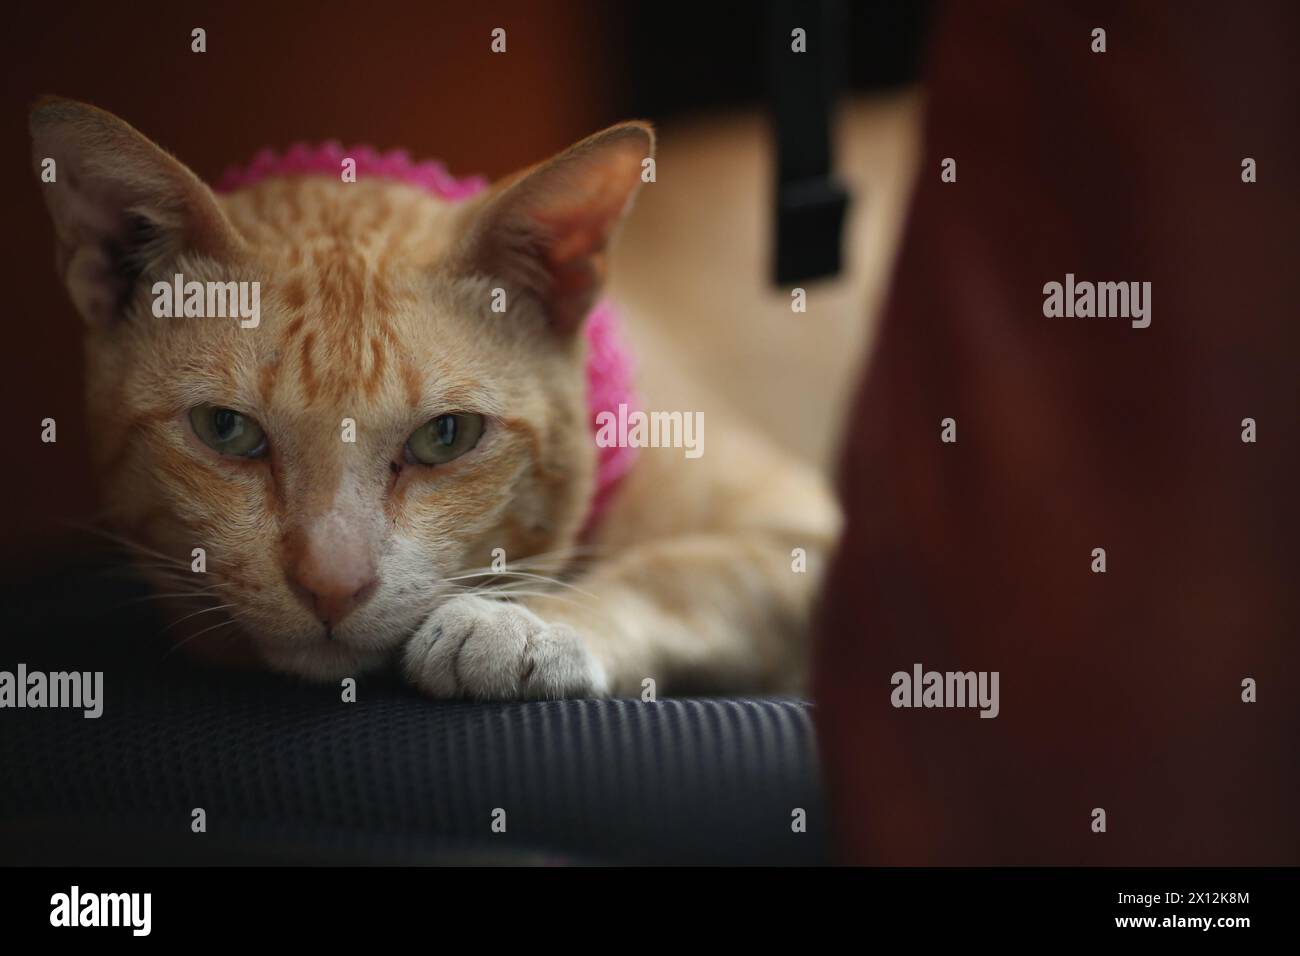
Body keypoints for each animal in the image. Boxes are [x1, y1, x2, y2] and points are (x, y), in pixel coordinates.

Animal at [35, 97, 842, 697]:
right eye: (226, 429)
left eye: (445, 437)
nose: (333, 586)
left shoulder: (808, 535)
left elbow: (677, 571)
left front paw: (526, 623)